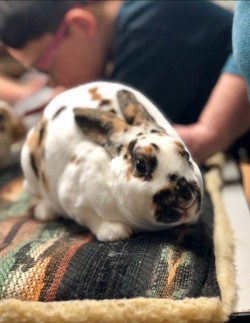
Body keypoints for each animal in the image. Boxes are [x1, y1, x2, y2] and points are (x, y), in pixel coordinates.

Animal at [21, 82, 203, 242]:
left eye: (186, 155)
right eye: (140, 165)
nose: (186, 193)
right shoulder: (73, 201)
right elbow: (91, 218)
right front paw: (115, 233)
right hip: (30, 171)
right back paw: (44, 212)